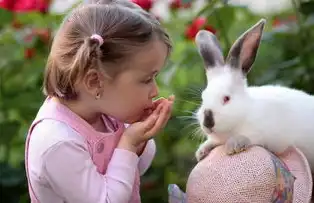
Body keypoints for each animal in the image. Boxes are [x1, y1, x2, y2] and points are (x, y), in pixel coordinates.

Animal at [193, 18, 314, 171]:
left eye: (226, 98)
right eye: (203, 97)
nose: (208, 122)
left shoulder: (269, 135)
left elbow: (252, 138)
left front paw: (234, 145)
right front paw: (201, 152)